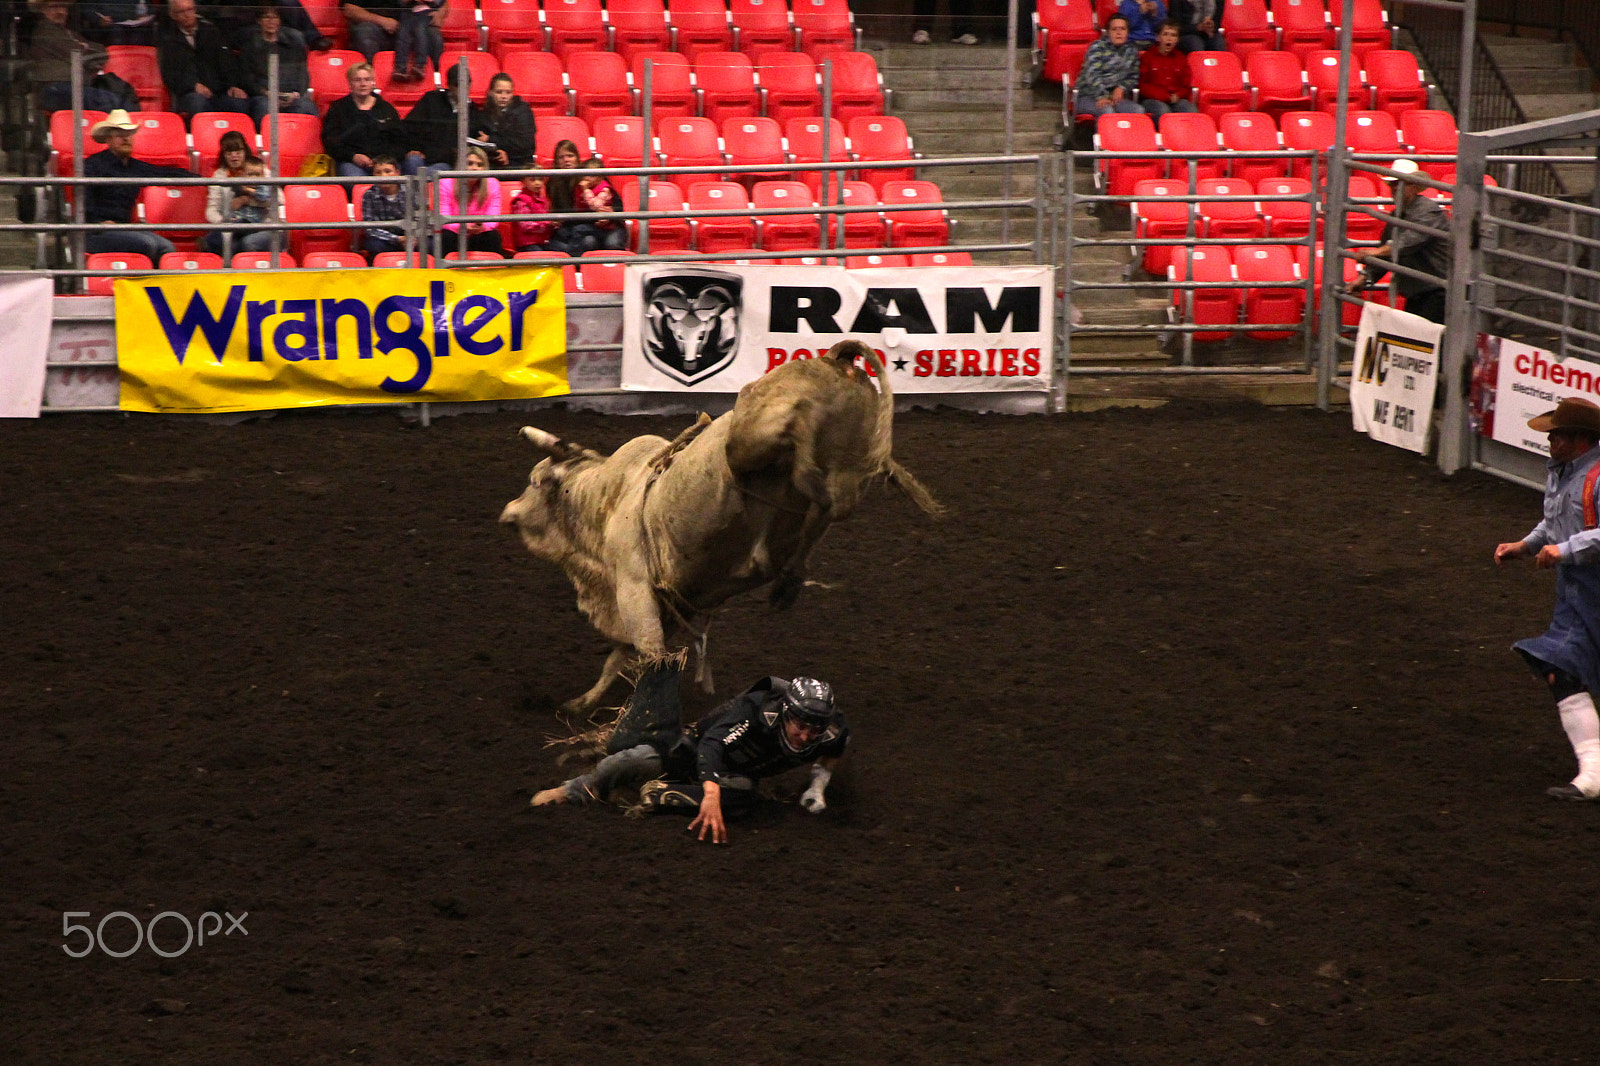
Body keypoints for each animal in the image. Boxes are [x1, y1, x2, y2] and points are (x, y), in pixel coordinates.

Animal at [500, 338, 942, 715]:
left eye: (535, 480)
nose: (507, 510)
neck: (606, 498)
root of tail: (835, 358)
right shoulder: (671, 605)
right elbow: (619, 659)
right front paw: (582, 703)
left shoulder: (634, 589)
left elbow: (648, 658)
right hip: (848, 466)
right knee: (830, 505)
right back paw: (788, 577)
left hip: (752, 437)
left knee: (801, 455)